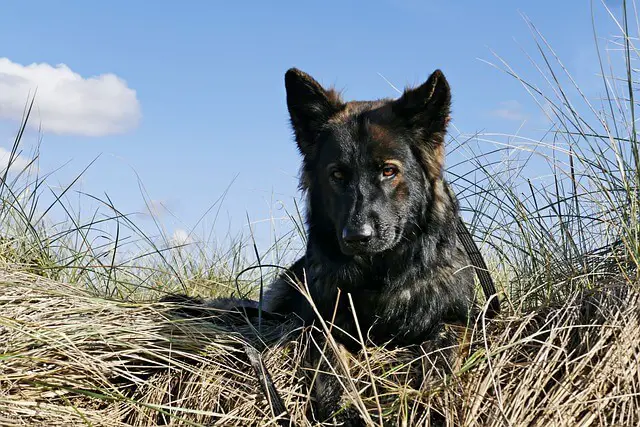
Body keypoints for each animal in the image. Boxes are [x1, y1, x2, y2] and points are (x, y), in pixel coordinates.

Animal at [162, 68, 488, 426]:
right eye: (337, 175)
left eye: (389, 171)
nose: (357, 236)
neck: (379, 277)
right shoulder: (320, 325)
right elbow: (331, 367)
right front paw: (345, 408)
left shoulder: (458, 318)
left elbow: (442, 350)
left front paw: (430, 397)